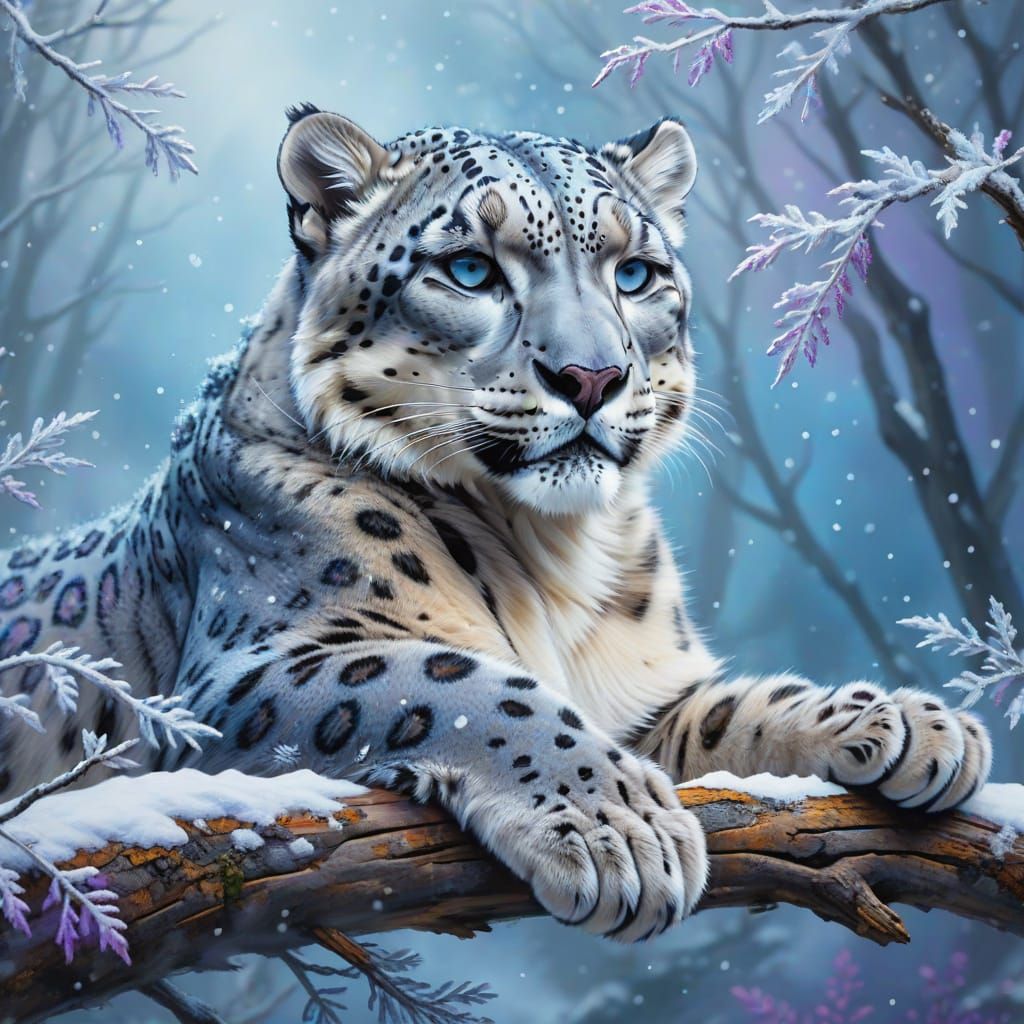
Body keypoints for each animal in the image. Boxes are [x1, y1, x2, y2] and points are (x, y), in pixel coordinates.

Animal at [0, 106, 992, 943]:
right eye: (471, 268)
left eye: (635, 273)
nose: (593, 377)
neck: (558, 553)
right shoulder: (247, 675)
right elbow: (460, 685)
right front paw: (620, 828)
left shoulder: (644, 697)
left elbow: (729, 710)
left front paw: (909, 723)